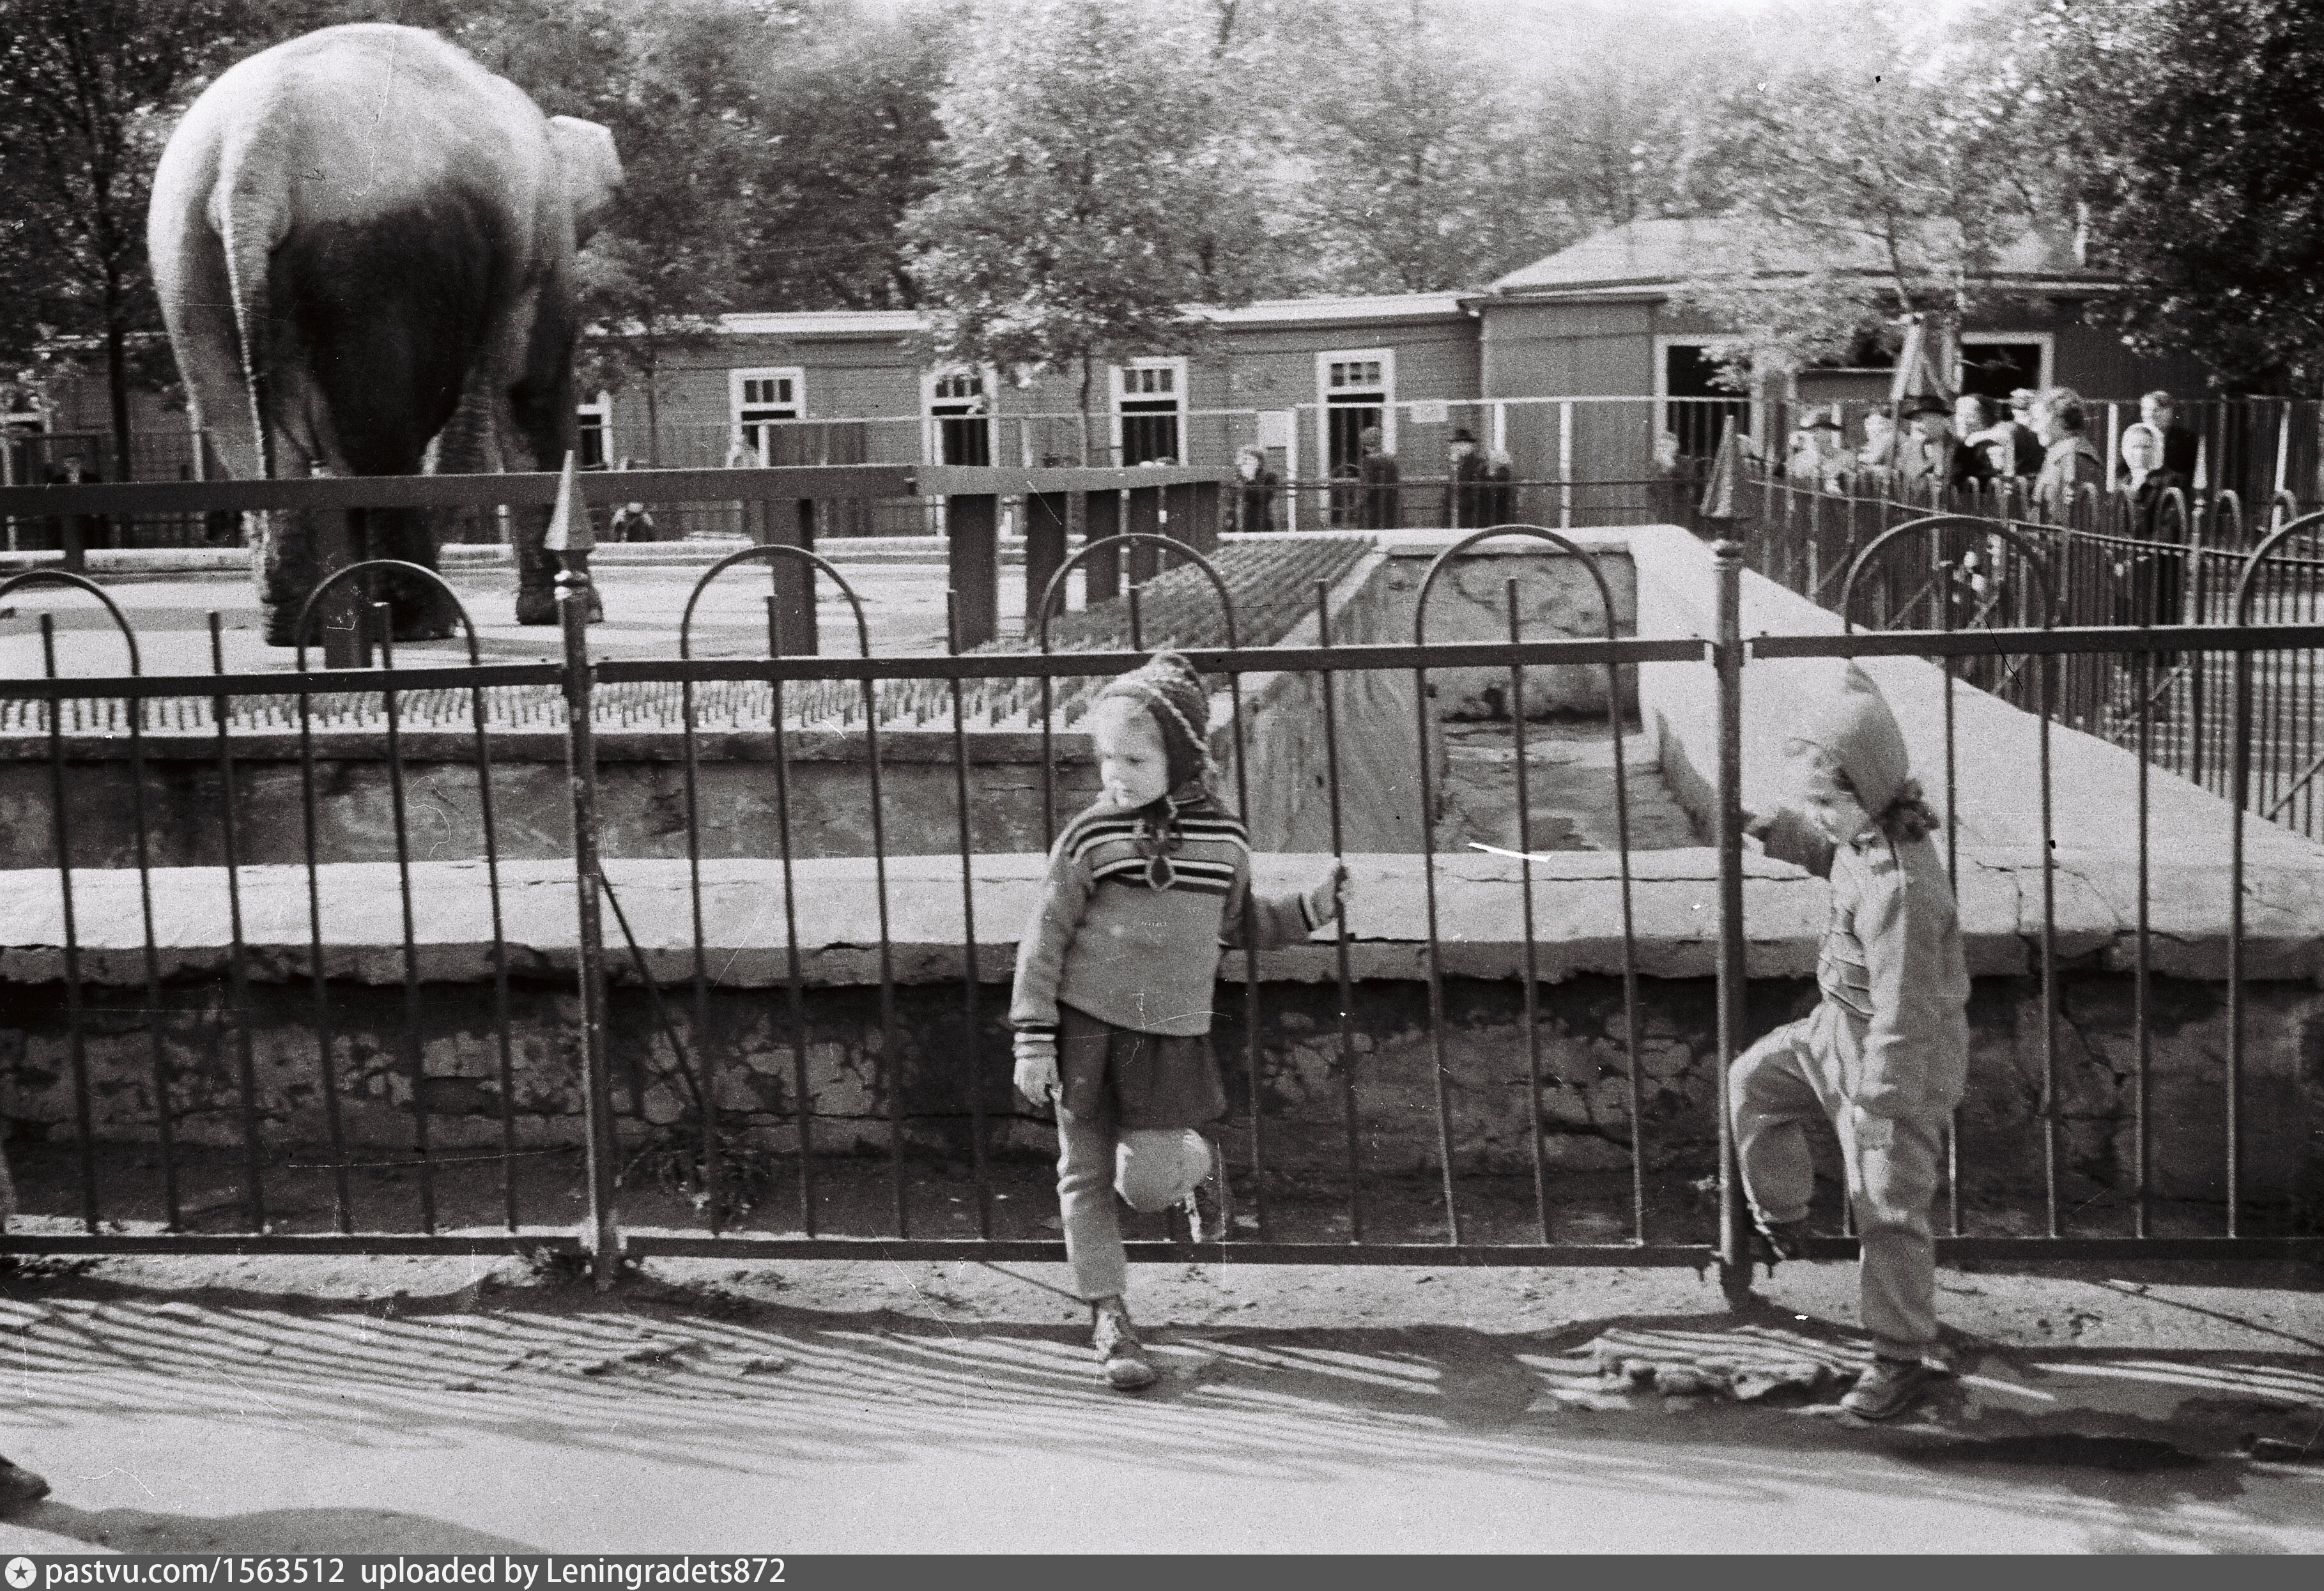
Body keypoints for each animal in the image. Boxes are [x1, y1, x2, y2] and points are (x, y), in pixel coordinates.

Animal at [153, 24, 627, 645]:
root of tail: (254, 157)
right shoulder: (542, 254)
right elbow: (531, 389)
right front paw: (577, 613)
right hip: (372, 259)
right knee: (378, 441)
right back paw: (417, 624)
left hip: (187, 265)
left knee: (247, 433)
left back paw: (299, 627)